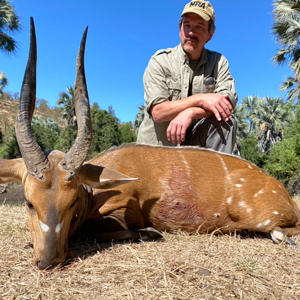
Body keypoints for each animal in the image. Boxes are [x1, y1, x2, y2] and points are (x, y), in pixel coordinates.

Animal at [0, 18, 300, 270]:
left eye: (72, 203)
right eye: (28, 202)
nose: (48, 261)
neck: (95, 191)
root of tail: (284, 194)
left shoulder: (124, 210)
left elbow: (97, 230)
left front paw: (150, 232)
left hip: (258, 218)